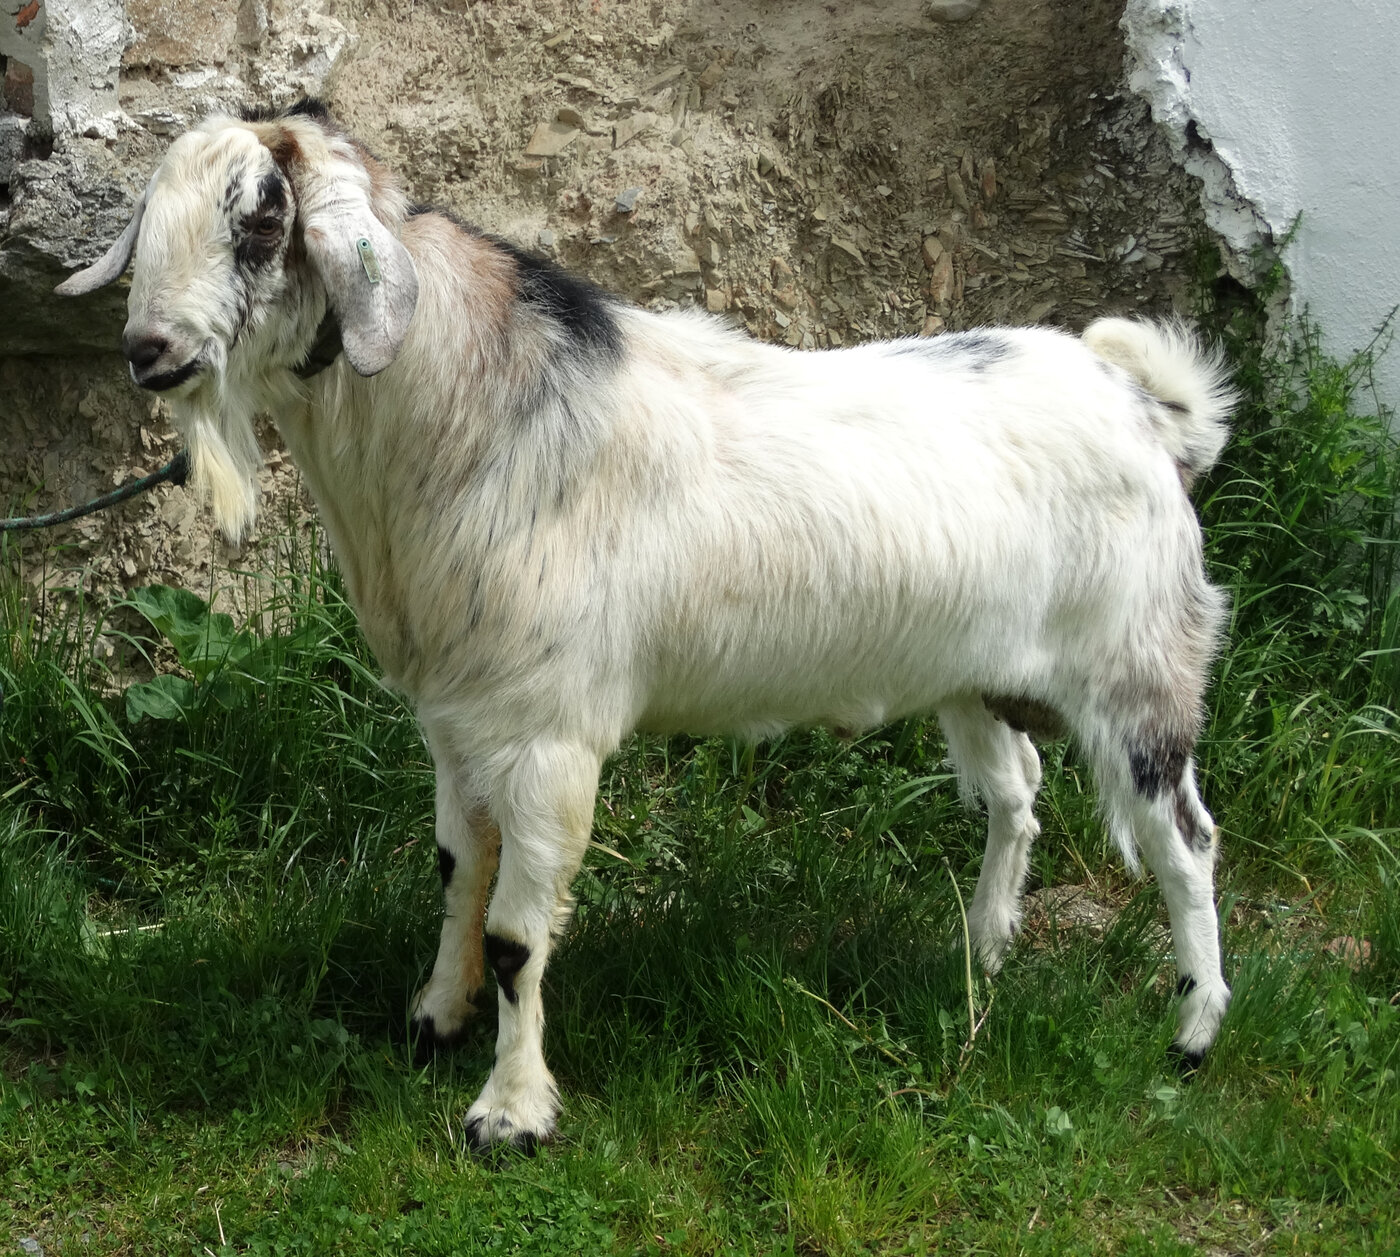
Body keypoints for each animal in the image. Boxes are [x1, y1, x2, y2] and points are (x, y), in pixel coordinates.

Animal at [59, 100, 1237, 1152]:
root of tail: (1139, 401)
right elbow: (456, 872)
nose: (149, 350)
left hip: (1139, 672)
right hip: (976, 677)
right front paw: (434, 1017)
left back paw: (1192, 1031)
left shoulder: (549, 738)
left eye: (260, 219)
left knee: (1186, 841)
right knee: (1016, 795)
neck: (471, 418)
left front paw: (510, 1112)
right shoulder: (458, 722)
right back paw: (982, 954)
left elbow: (517, 936)